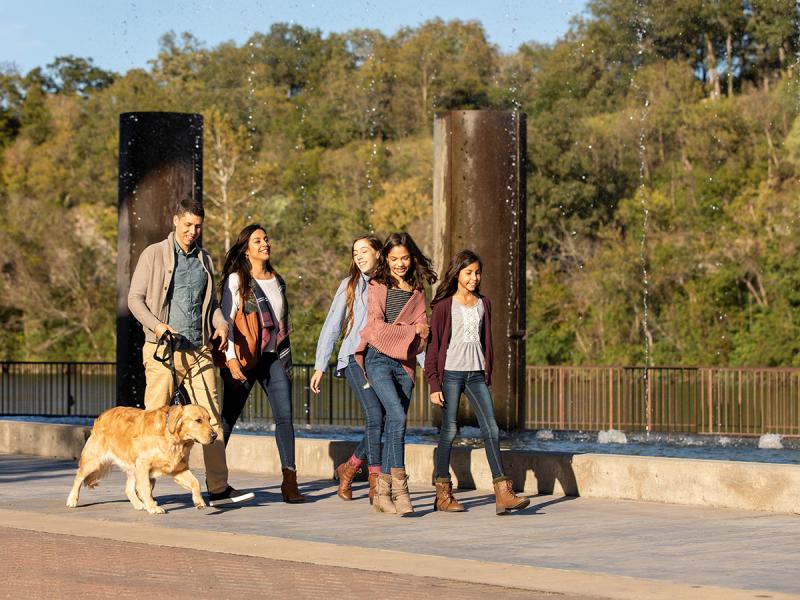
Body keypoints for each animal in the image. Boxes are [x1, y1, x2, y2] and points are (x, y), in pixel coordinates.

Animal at [66, 406, 216, 512]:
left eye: (209, 419)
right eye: (198, 420)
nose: (215, 435)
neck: (174, 438)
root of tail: (100, 416)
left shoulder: (179, 469)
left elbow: (196, 482)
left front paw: (199, 501)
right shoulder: (144, 464)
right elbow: (145, 488)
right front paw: (153, 507)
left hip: (133, 467)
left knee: (128, 488)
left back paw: (139, 504)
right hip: (94, 461)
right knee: (78, 476)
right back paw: (72, 499)